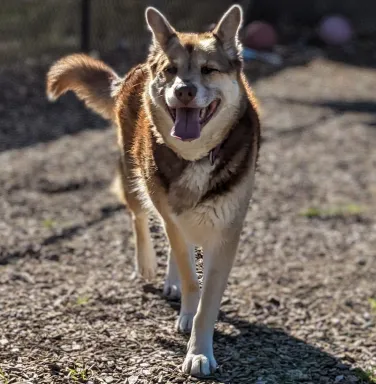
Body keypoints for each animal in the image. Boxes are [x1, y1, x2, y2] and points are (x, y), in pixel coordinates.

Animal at [47, 4, 260, 376]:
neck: (195, 156)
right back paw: (148, 264)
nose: (185, 91)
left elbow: (207, 299)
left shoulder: (226, 233)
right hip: (135, 178)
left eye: (208, 70)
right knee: (143, 218)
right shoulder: (171, 211)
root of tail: (133, 72)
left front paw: (200, 350)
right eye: (170, 70)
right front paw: (188, 311)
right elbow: (190, 277)